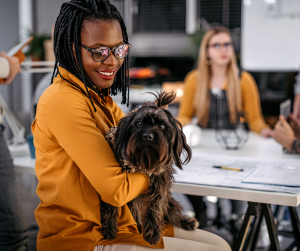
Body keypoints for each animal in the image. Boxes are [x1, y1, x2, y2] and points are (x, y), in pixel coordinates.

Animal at [102, 91, 198, 244]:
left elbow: (155, 207)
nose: (147, 136)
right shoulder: (113, 186)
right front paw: (110, 228)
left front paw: (152, 233)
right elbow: (112, 204)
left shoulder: (160, 183)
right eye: (139, 123)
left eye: (162, 127)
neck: (142, 162)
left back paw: (186, 222)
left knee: (171, 212)